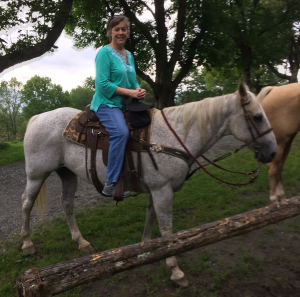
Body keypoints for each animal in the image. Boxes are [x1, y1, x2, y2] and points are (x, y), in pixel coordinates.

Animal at [22, 82, 278, 284]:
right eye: (257, 117)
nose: (273, 152)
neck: (176, 136)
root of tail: (37, 118)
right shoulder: (163, 191)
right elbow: (166, 229)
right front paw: (175, 270)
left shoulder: (157, 190)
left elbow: (150, 218)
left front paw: (145, 248)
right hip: (37, 175)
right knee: (26, 203)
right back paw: (27, 244)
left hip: (67, 173)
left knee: (67, 204)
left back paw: (81, 242)